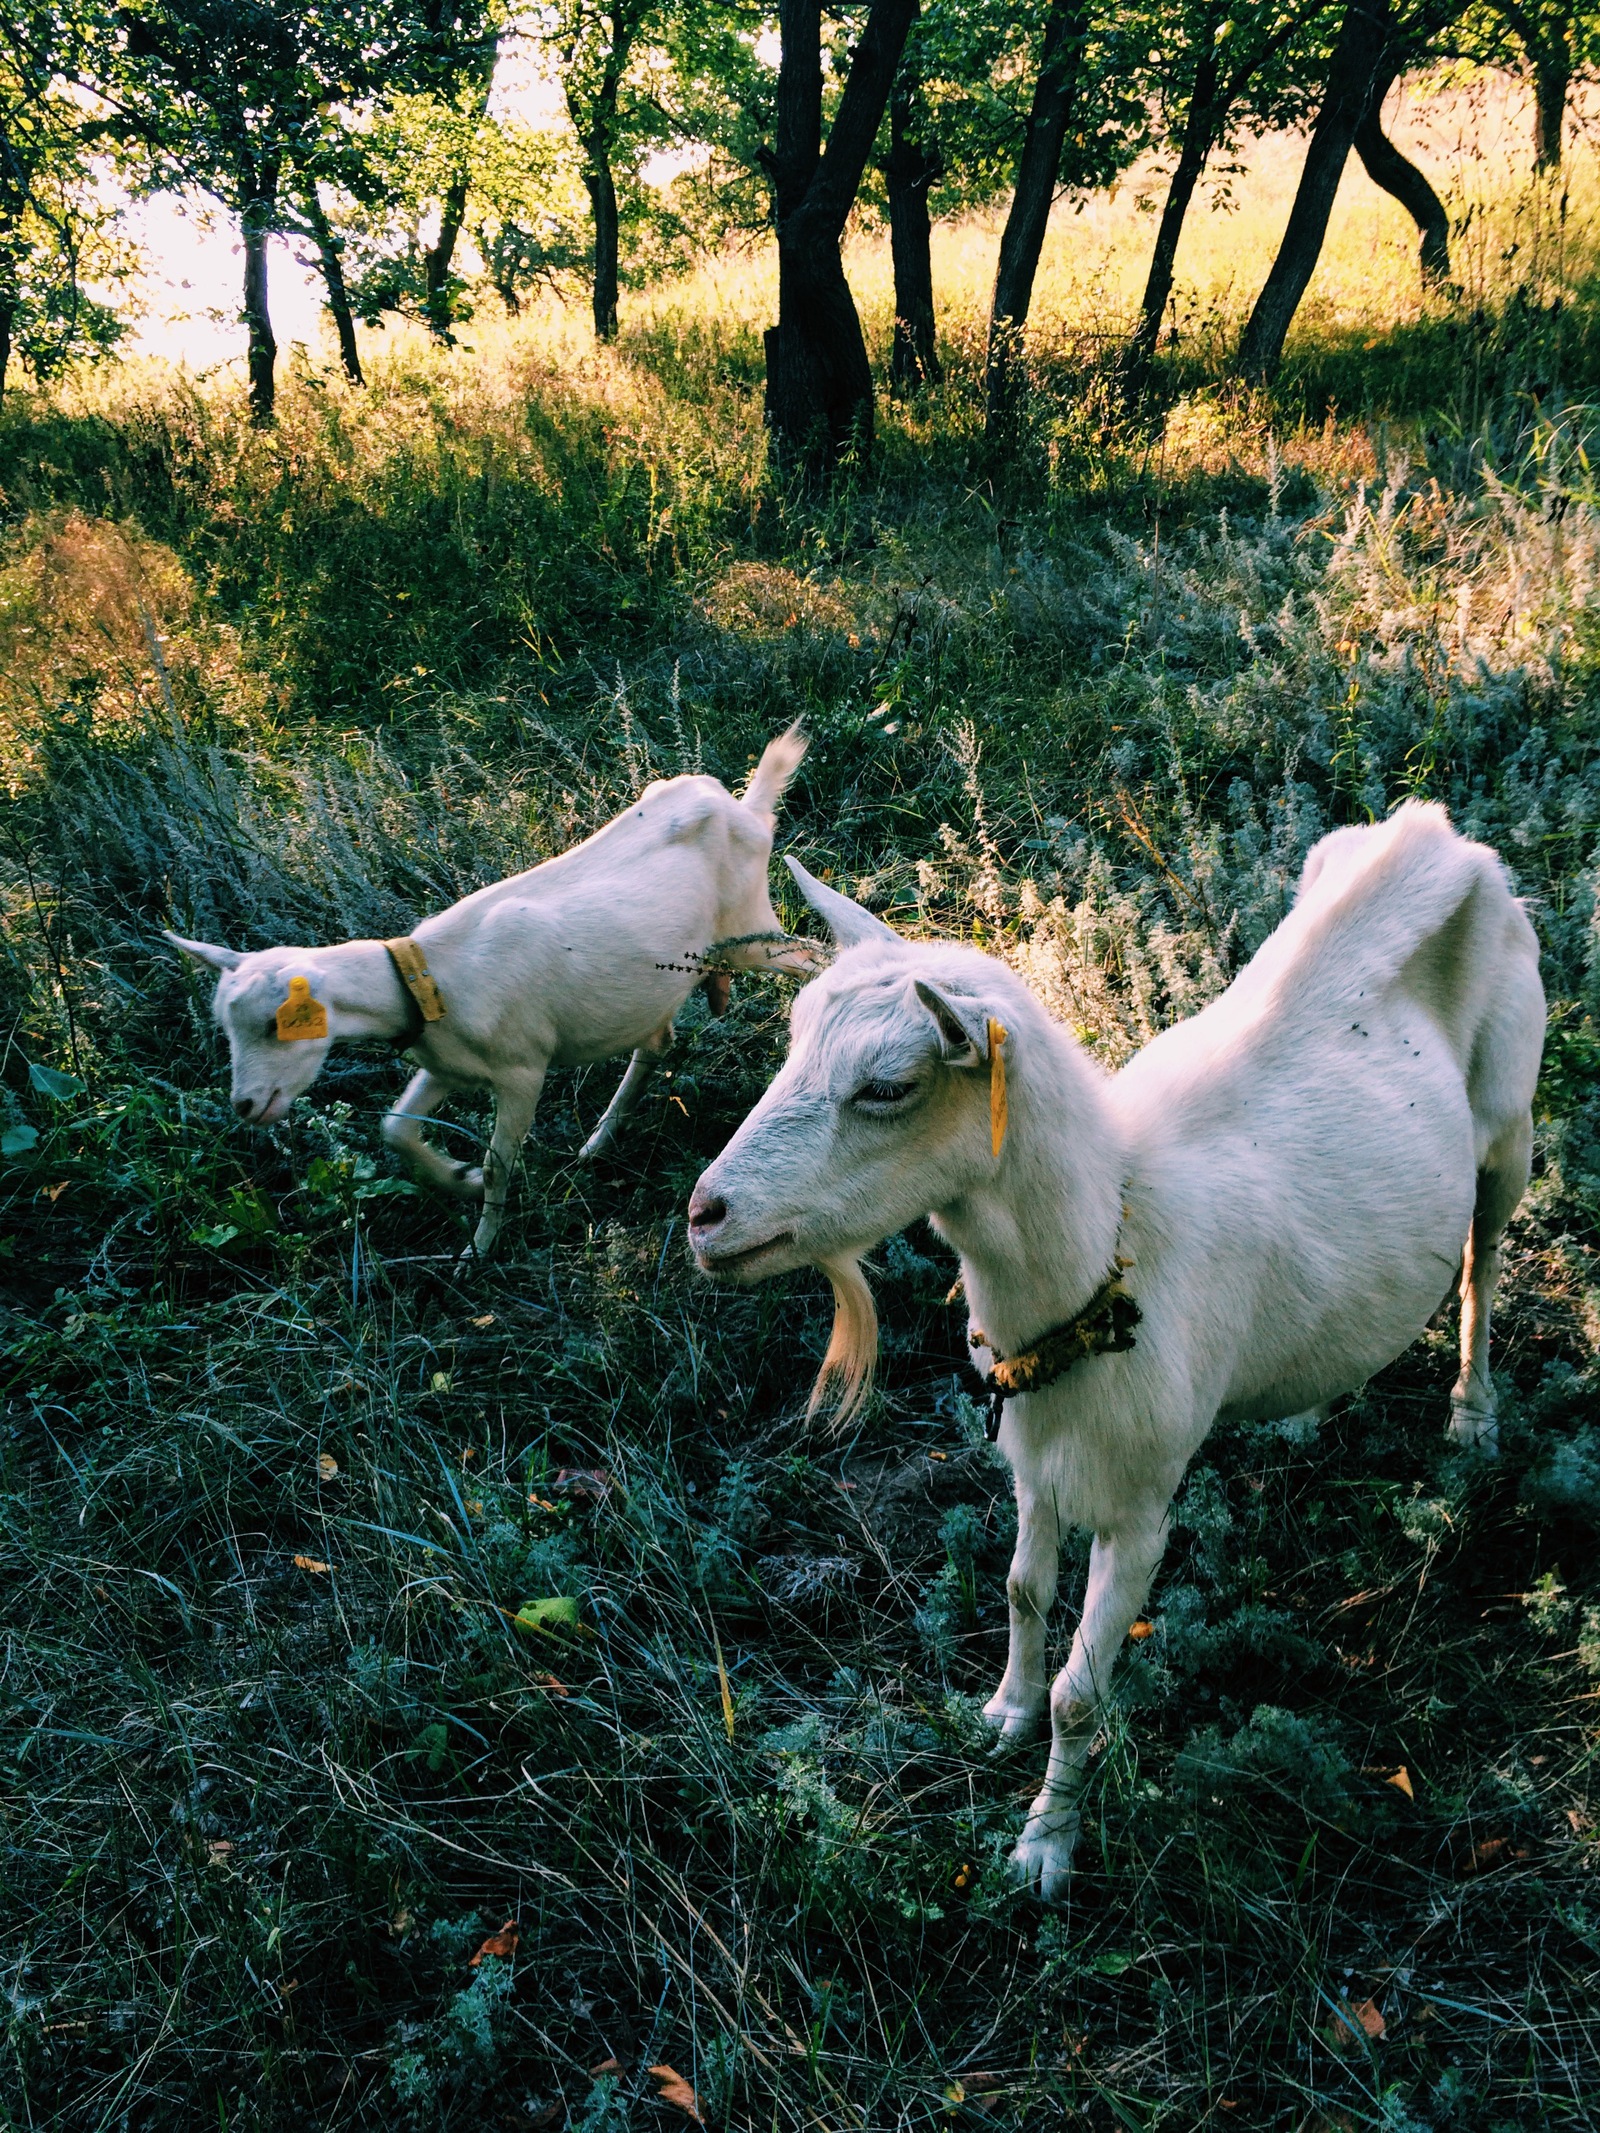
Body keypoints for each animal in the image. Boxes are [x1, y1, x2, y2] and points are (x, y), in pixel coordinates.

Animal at [169, 725, 819, 1254]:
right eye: (226, 1026)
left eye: (276, 1023)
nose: (244, 1106)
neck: (431, 977)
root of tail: (743, 809)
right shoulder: (444, 1062)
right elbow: (394, 1128)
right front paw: (459, 1179)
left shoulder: (522, 1070)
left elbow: (500, 1162)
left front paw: (478, 1246)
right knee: (657, 1043)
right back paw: (599, 1141)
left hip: (750, 931)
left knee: (812, 960)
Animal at [695, 802, 1544, 1902]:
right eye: (795, 1037)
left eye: (888, 1086)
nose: (704, 1215)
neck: (1108, 1252)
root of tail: (1434, 833)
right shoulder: (1036, 1461)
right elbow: (1021, 1592)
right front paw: (1001, 1715)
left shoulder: (1140, 1510)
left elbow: (1081, 1694)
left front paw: (1042, 1850)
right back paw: (1308, 1410)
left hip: (1509, 1118)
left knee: (1484, 1262)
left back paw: (1473, 1419)